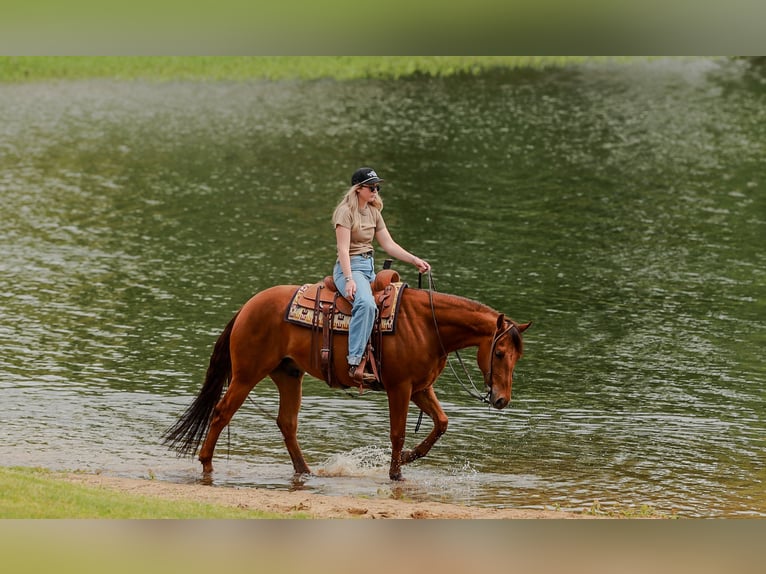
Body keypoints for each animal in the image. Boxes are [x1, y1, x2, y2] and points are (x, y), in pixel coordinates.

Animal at [163, 279, 531, 481]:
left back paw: (305, 470)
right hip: (246, 374)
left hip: (288, 374)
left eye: (518, 356)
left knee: (287, 422)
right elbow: (398, 432)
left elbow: (441, 423)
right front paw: (396, 471)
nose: (501, 399)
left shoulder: (421, 388)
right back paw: (206, 463)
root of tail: (246, 308)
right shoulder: (400, 388)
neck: (428, 325)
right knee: (221, 412)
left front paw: (409, 457)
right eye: (500, 353)